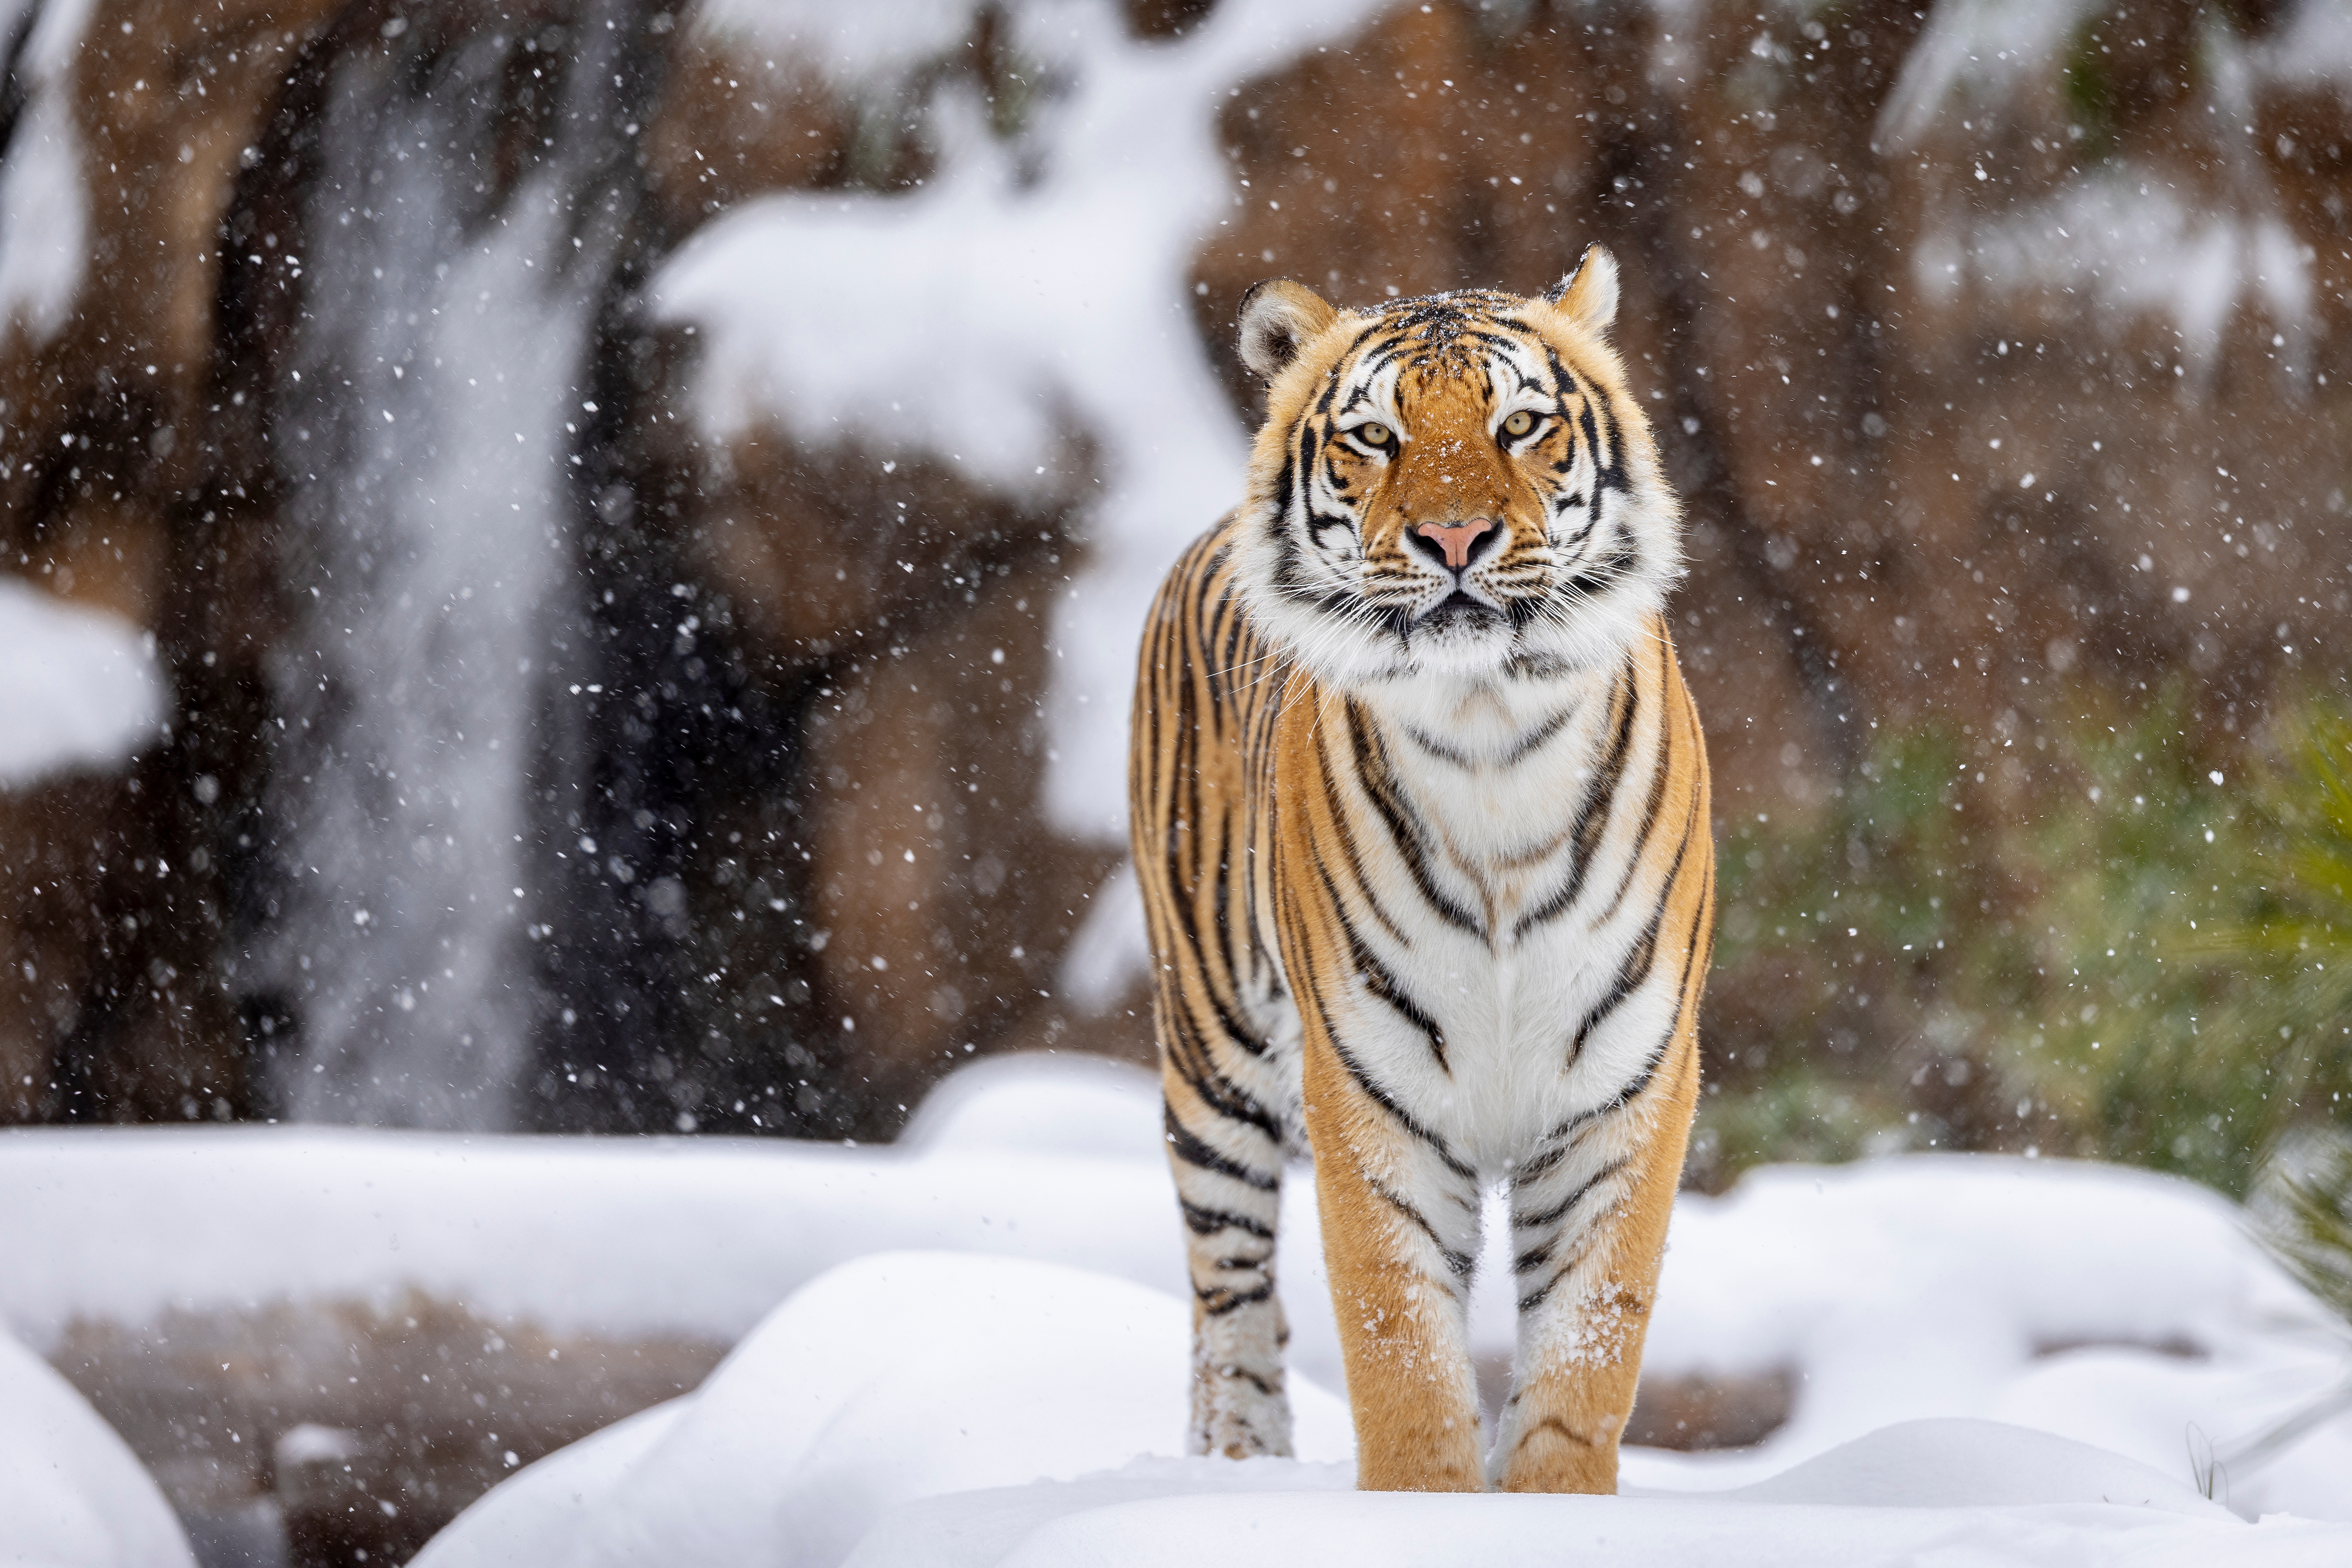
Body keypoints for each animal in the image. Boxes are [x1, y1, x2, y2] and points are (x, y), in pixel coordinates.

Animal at [1127, 246, 1714, 1494]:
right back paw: (1237, 1466)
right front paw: (1421, 1506)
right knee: (1229, 1300)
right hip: (1212, 1048)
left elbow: (1588, 1346)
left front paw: (1554, 1506)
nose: (1453, 540)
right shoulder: (1367, 1085)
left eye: (1520, 424)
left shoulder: (1625, 1087)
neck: (1490, 740)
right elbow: (1397, 1339)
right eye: (1375, 436)